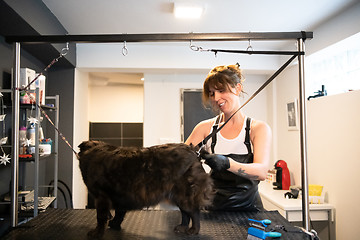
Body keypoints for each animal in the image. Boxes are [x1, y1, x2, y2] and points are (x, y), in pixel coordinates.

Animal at [78, 141, 214, 238]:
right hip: (177, 195)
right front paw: (115, 225)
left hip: (185, 194)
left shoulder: (101, 197)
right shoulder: (121, 197)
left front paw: (97, 233)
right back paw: (182, 227)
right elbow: (119, 213)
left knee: (194, 212)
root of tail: (194, 152)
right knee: (185, 213)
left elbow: (101, 217)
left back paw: (194, 230)